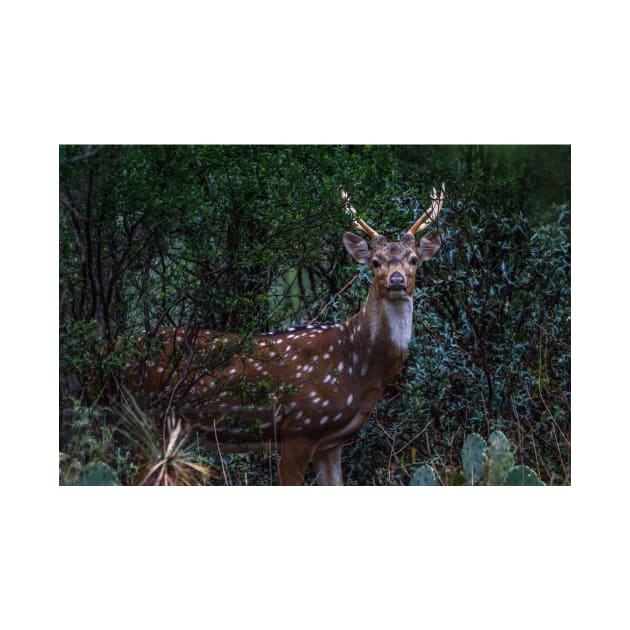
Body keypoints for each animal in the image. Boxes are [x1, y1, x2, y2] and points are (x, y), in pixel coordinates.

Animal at [130, 185, 444, 486]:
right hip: (145, 417)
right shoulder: (300, 427)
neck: (358, 365)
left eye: (414, 260)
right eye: (376, 262)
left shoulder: (330, 443)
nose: (396, 280)